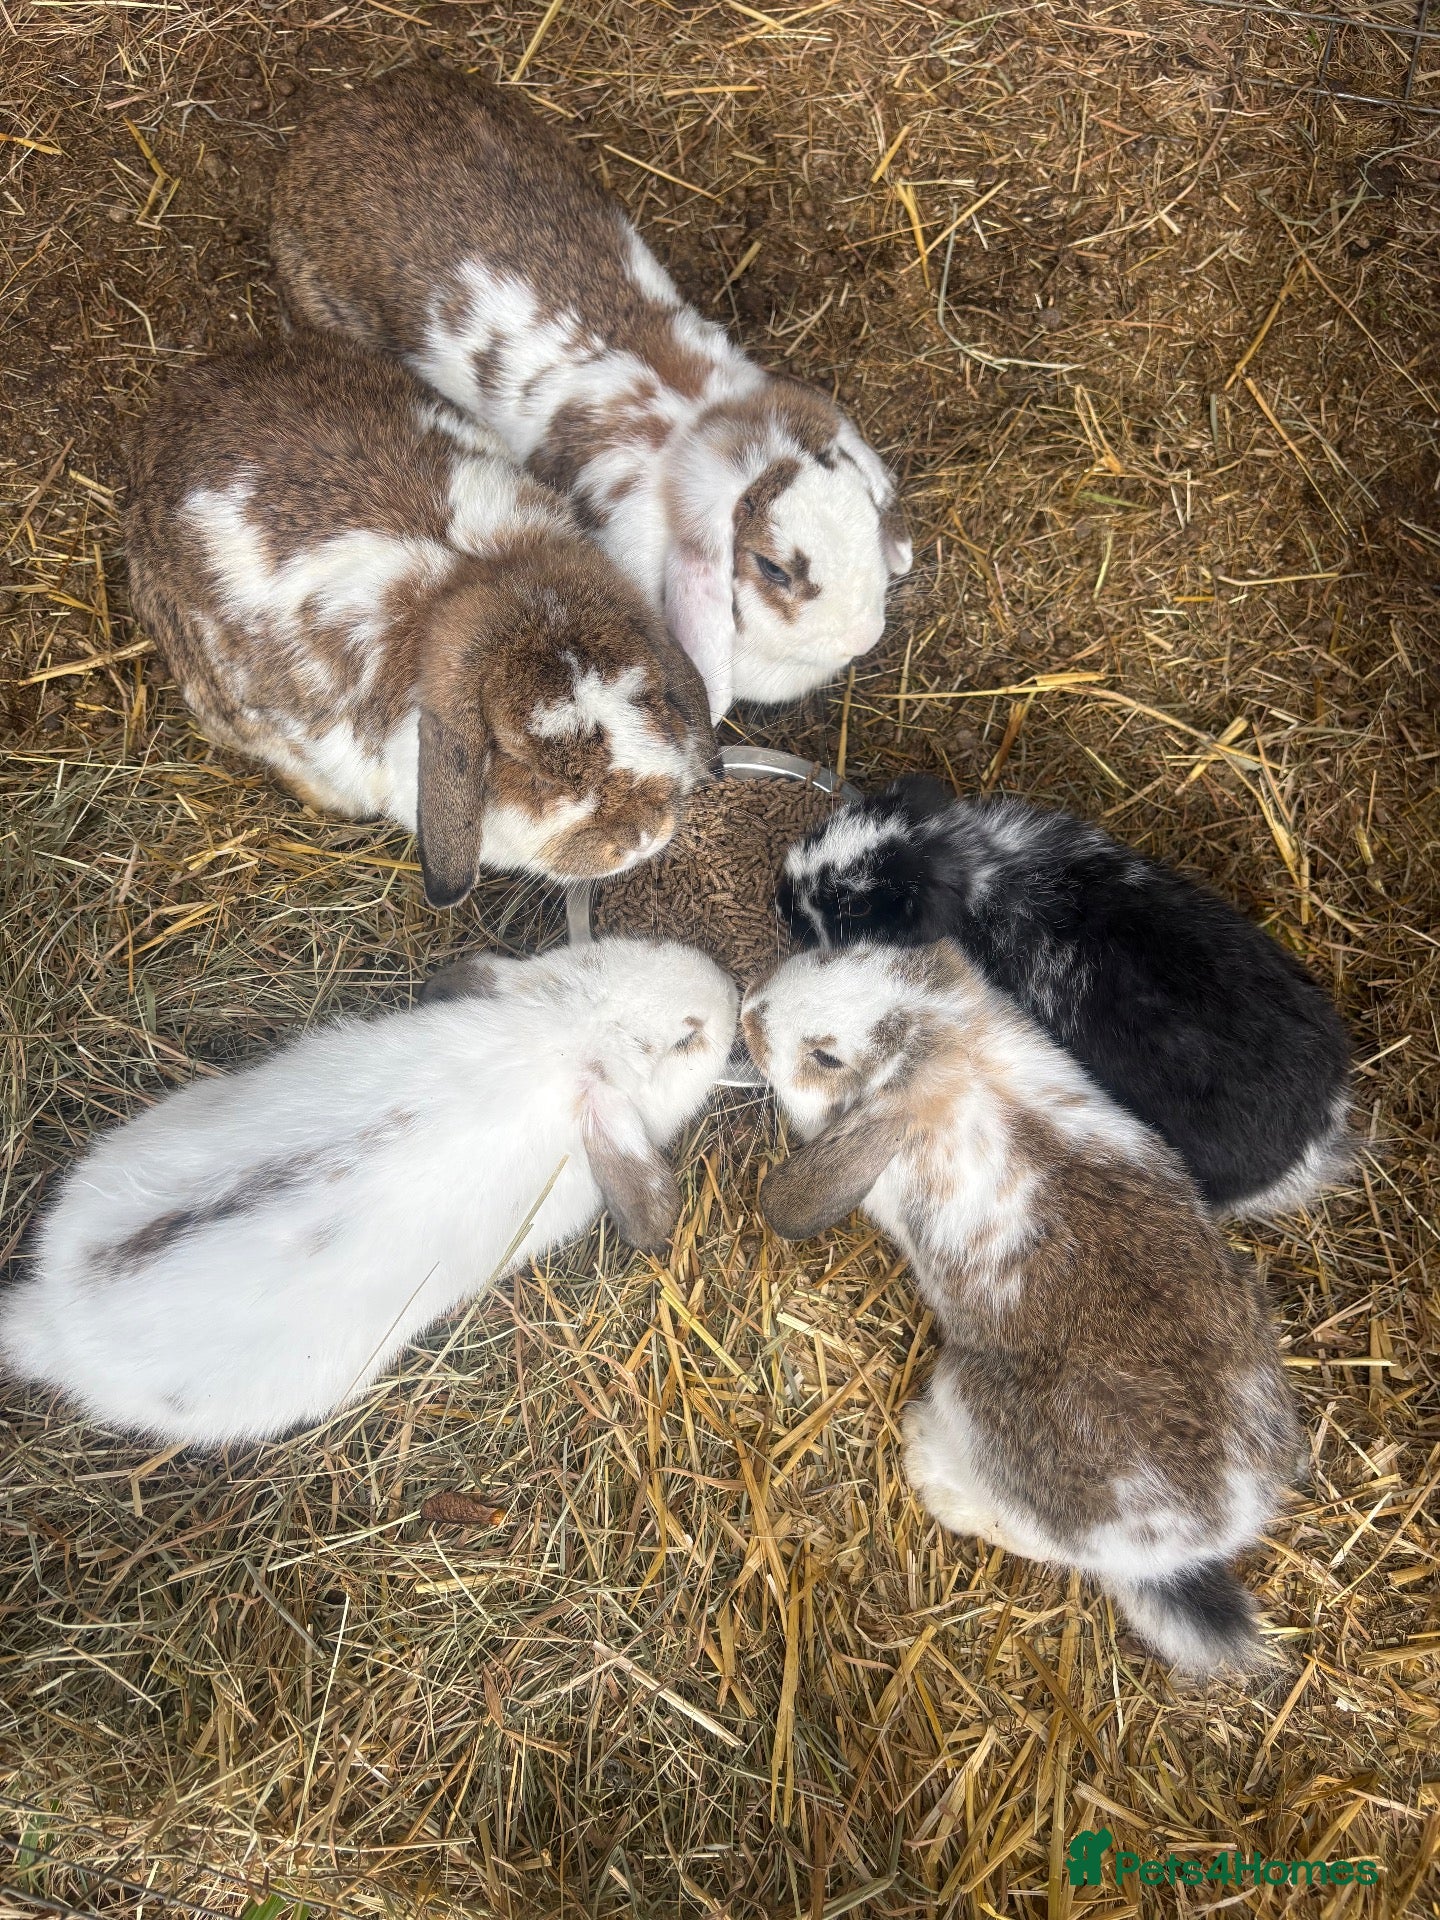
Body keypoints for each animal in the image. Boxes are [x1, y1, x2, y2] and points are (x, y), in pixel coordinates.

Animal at [742, 942, 1303, 1674]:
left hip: (973, 1403)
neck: (956, 1056)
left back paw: (929, 1463)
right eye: (849, 949)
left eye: (827, 1056)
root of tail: (1200, 1540)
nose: (751, 1014)